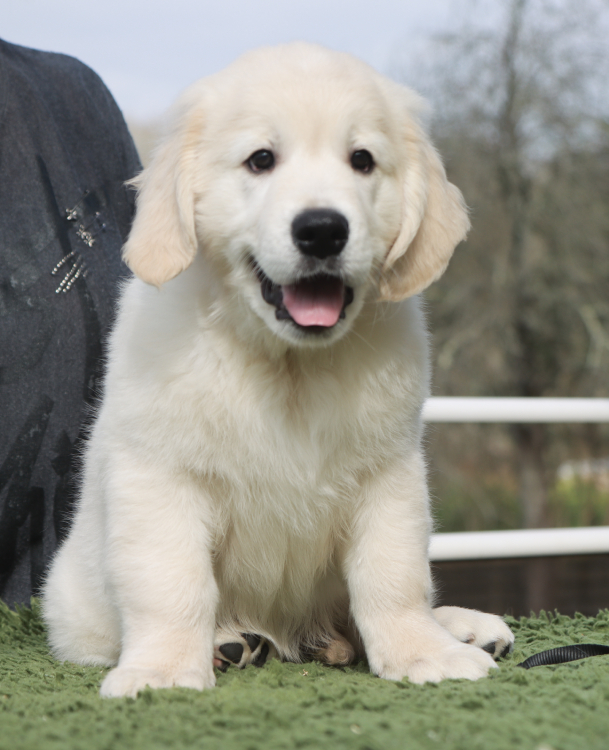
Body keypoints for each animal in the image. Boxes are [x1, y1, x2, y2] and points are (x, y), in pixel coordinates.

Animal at [42, 42, 514, 698]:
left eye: (362, 160)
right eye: (260, 160)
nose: (322, 229)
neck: (289, 364)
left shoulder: (387, 471)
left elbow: (394, 577)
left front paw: (424, 652)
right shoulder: (160, 475)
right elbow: (172, 583)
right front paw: (164, 671)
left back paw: (458, 627)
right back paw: (233, 643)